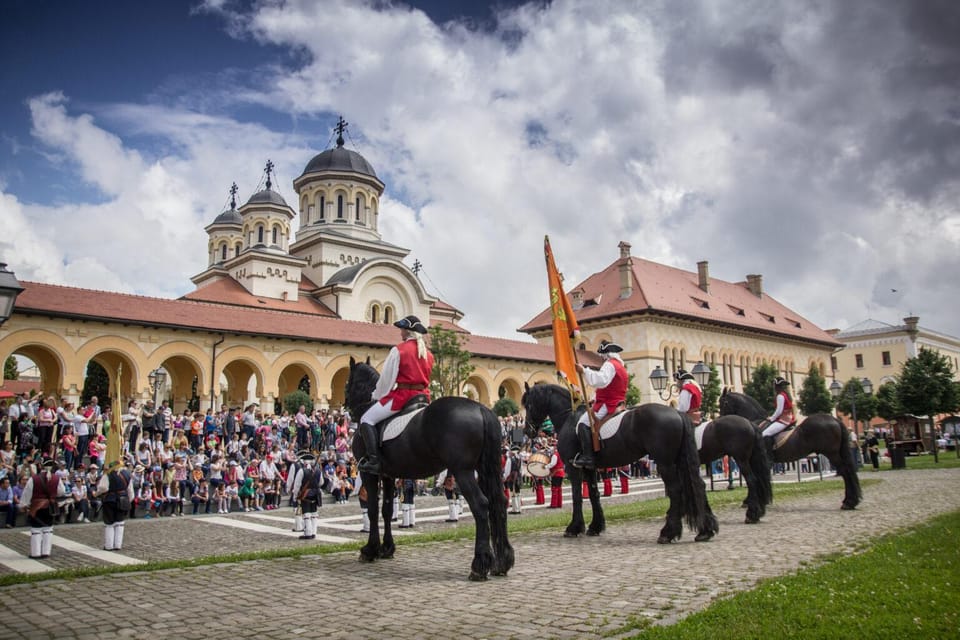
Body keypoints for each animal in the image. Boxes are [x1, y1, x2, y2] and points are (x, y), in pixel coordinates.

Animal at [344, 358, 512, 584]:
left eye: (349, 381)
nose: (348, 408)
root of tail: (480, 409)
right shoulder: (388, 475)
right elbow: (387, 510)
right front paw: (387, 548)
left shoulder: (369, 473)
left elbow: (371, 510)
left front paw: (369, 550)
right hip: (485, 469)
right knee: (498, 503)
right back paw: (502, 563)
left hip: (463, 471)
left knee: (480, 505)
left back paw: (479, 565)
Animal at [520, 382, 716, 544]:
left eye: (528, 404)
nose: (527, 430)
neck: (569, 417)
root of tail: (677, 412)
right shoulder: (589, 468)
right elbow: (594, 494)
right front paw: (595, 527)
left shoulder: (572, 466)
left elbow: (577, 496)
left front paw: (574, 528)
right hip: (680, 461)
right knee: (697, 485)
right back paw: (705, 530)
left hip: (665, 464)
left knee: (676, 491)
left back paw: (668, 533)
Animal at [720, 390, 864, 510]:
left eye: (723, 403)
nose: (720, 420)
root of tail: (835, 420)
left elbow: (755, 478)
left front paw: (751, 501)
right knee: (848, 471)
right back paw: (851, 501)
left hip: (832, 453)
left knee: (845, 471)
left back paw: (849, 502)